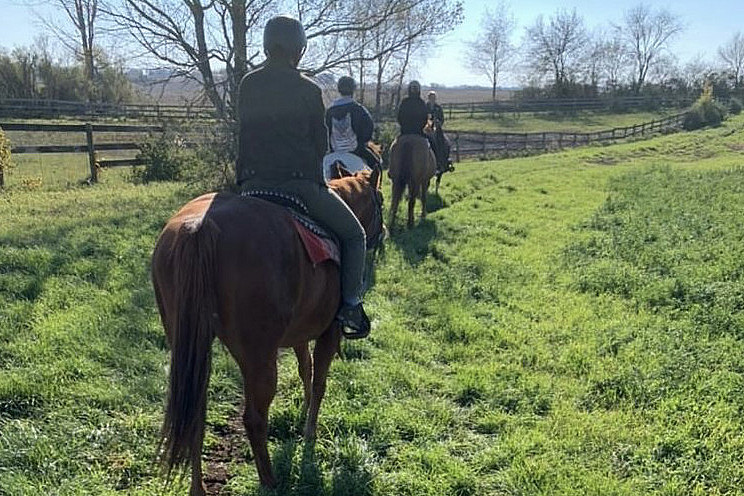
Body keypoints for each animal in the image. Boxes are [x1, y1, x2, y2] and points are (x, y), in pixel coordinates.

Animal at [151, 170, 384, 492]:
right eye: (380, 201)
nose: (383, 233)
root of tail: (199, 228)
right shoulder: (329, 333)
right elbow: (319, 381)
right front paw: (310, 433)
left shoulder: (299, 335)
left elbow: (305, 369)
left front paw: (304, 414)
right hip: (258, 356)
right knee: (254, 419)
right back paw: (270, 482)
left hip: (189, 348)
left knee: (194, 415)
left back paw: (197, 487)